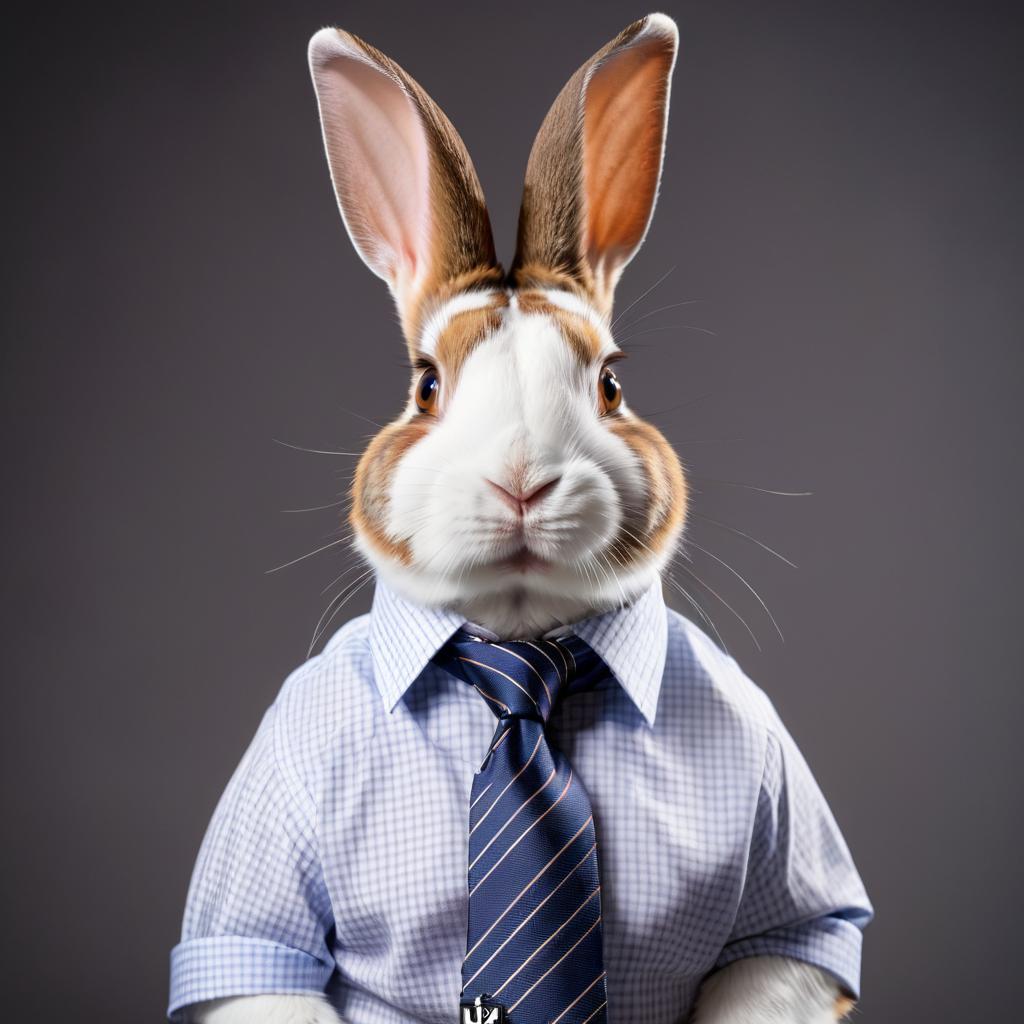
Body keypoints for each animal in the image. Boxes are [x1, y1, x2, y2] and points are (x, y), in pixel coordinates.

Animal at [182, 14, 856, 1024]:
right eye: (426, 385)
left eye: (611, 383)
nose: (521, 481)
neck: (521, 648)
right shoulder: (258, 904)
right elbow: (261, 962)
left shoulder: (793, 905)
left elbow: (786, 948)